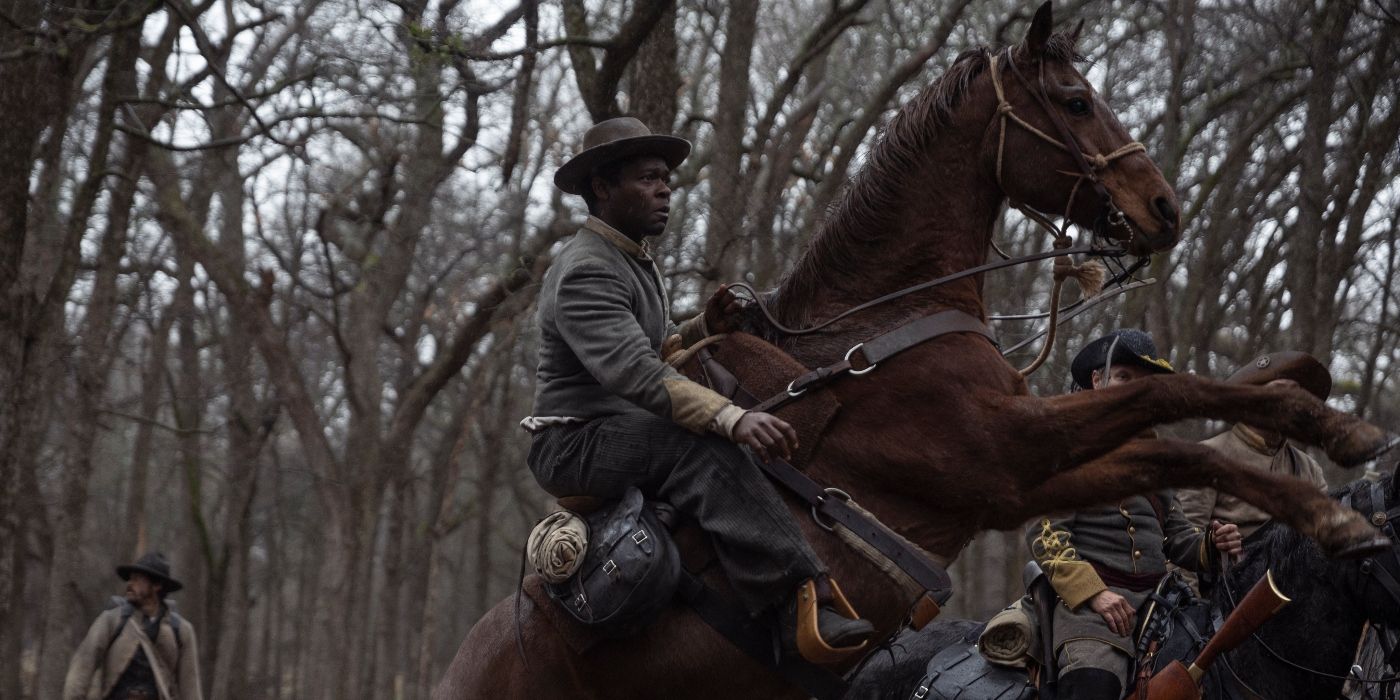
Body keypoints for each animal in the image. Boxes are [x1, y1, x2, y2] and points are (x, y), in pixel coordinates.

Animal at [434, 5, 1388, 700]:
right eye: (1076, 100)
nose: (1162, 207)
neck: (881, 329)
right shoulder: (1004, 459)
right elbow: (1166, 413)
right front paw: (1332, 500)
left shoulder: (1026, 470)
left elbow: (1179, 415)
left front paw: (1322, 413)